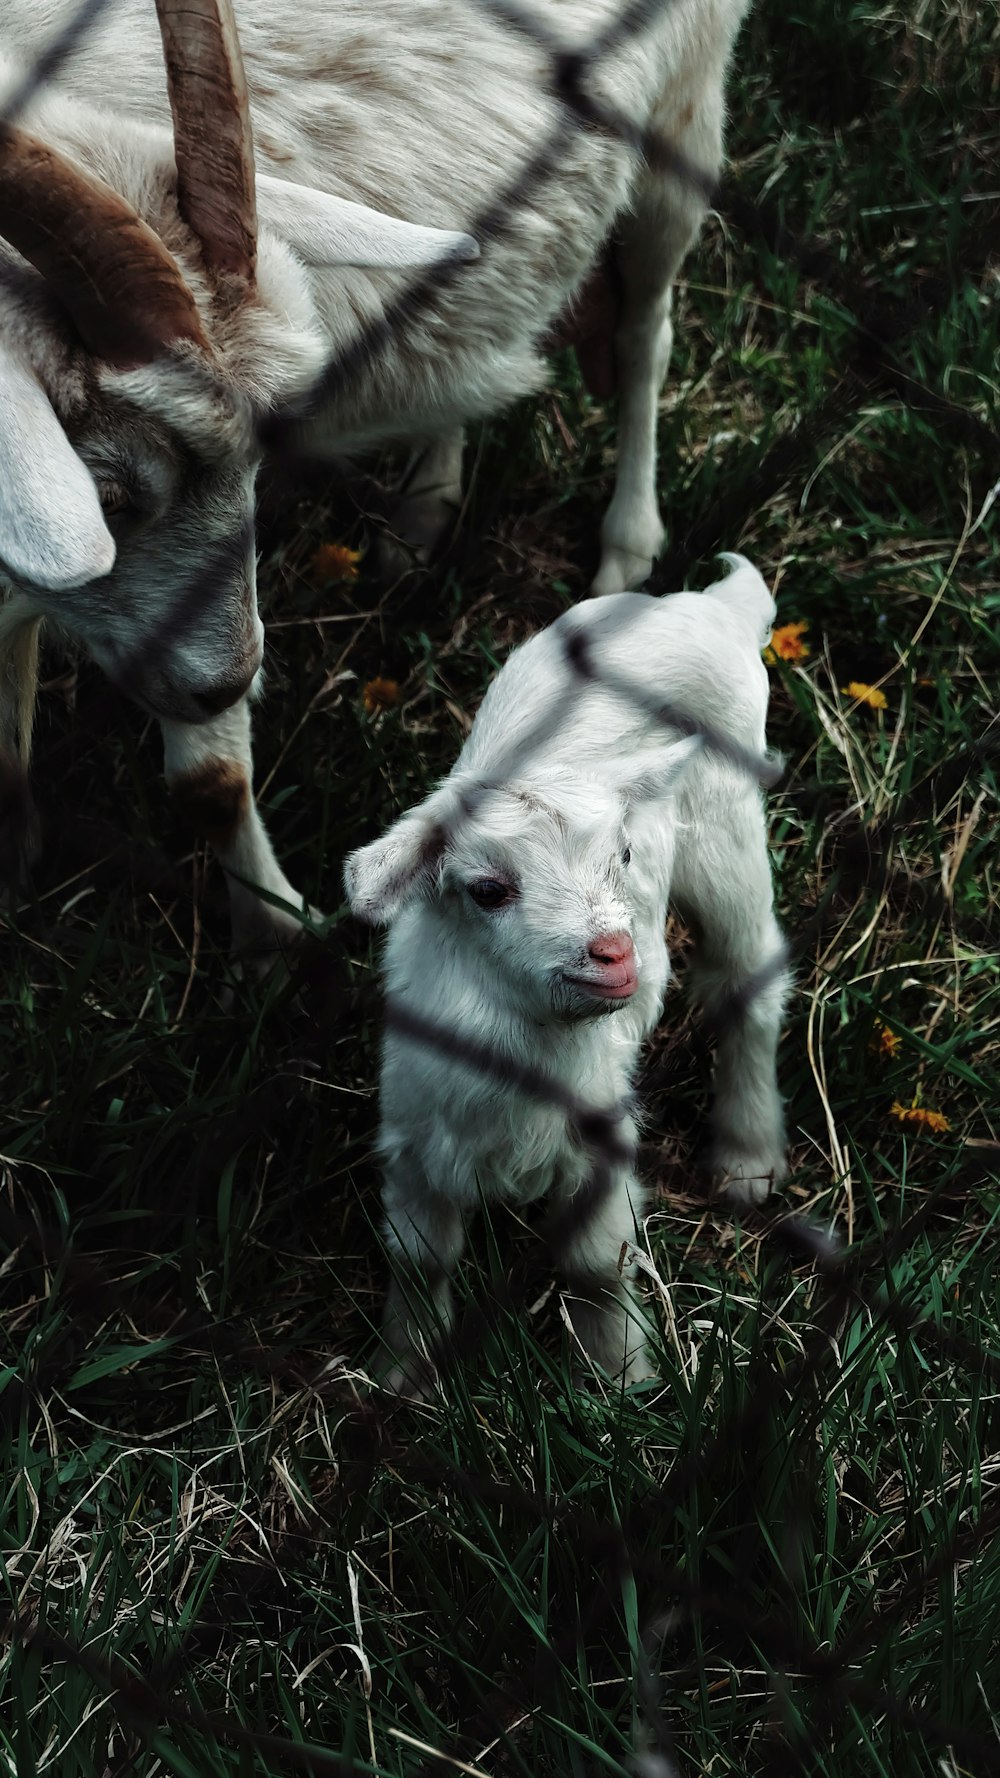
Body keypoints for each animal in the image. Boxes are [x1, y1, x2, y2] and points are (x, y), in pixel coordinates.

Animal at [0, 0, 747, 960]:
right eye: (111, 495)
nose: (226, 686)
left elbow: (211, 782)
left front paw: (277, 935)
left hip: (684, 116)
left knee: (646, 328)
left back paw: (627, 541)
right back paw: (424, 509)